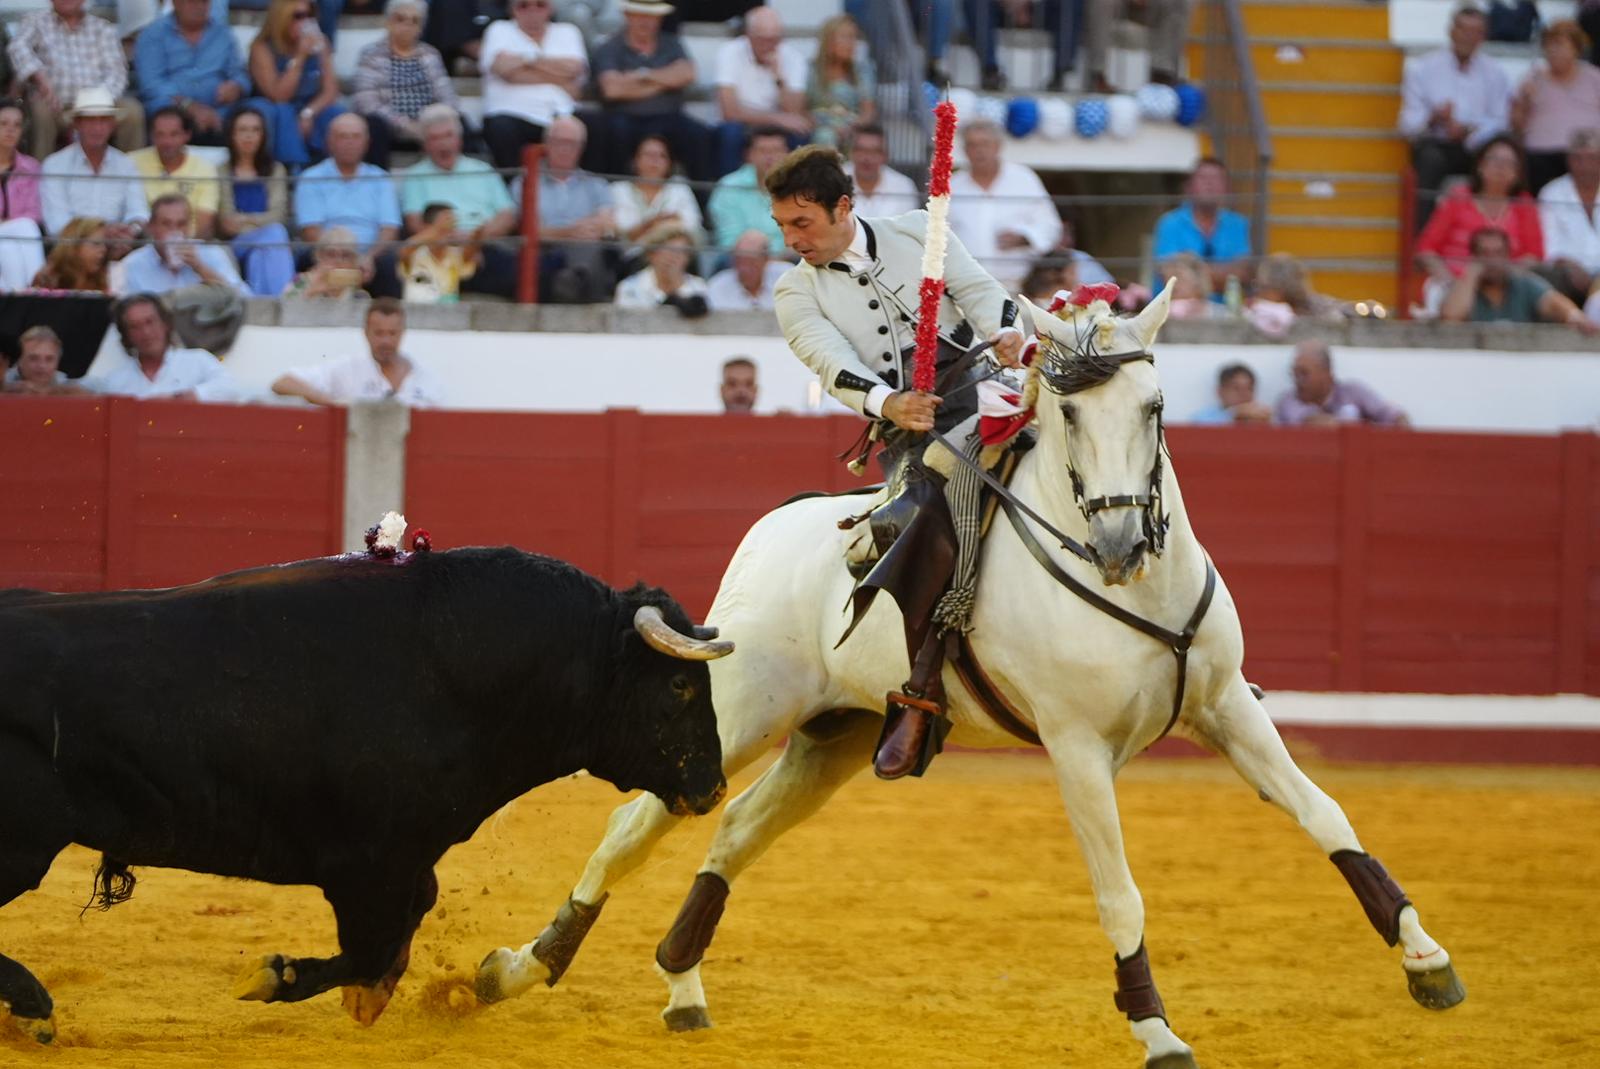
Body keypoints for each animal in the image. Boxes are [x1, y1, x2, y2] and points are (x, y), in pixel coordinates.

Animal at [0, 547, 729, 1036]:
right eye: (680, 685)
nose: (714, 786)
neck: (460, 667)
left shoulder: (404, 860)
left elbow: (407, 919)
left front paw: (365, 995)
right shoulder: (370, 863)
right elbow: (371, 944)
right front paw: (280, 977)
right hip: (23, 846)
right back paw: (35, 1008)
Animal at [470, 283, 1465, 1069]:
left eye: (1155, 405)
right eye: (1068, 415)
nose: (1114, 543)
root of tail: (776, 527)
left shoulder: (1226, 708)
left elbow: (1328, 816)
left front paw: (1427, 960)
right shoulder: (1076, 747)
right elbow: (1119, 890)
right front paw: (1156, 1029)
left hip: (837, 736)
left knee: (737, 830)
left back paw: (679, 983)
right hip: (738, 706)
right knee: (636, 823)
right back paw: (519, 966)